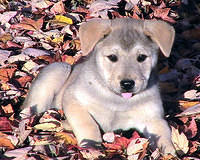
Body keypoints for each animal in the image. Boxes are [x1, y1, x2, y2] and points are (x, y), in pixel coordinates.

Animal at [21, 18, 175, 154]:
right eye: (112, 57)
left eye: (142, 57)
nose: (127, 84)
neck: (117, 101)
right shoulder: (73, 98)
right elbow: (88, 125)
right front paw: (91, 147)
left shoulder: (153, 119)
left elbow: (165, 137)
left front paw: (170, 153)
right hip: (57, 70)